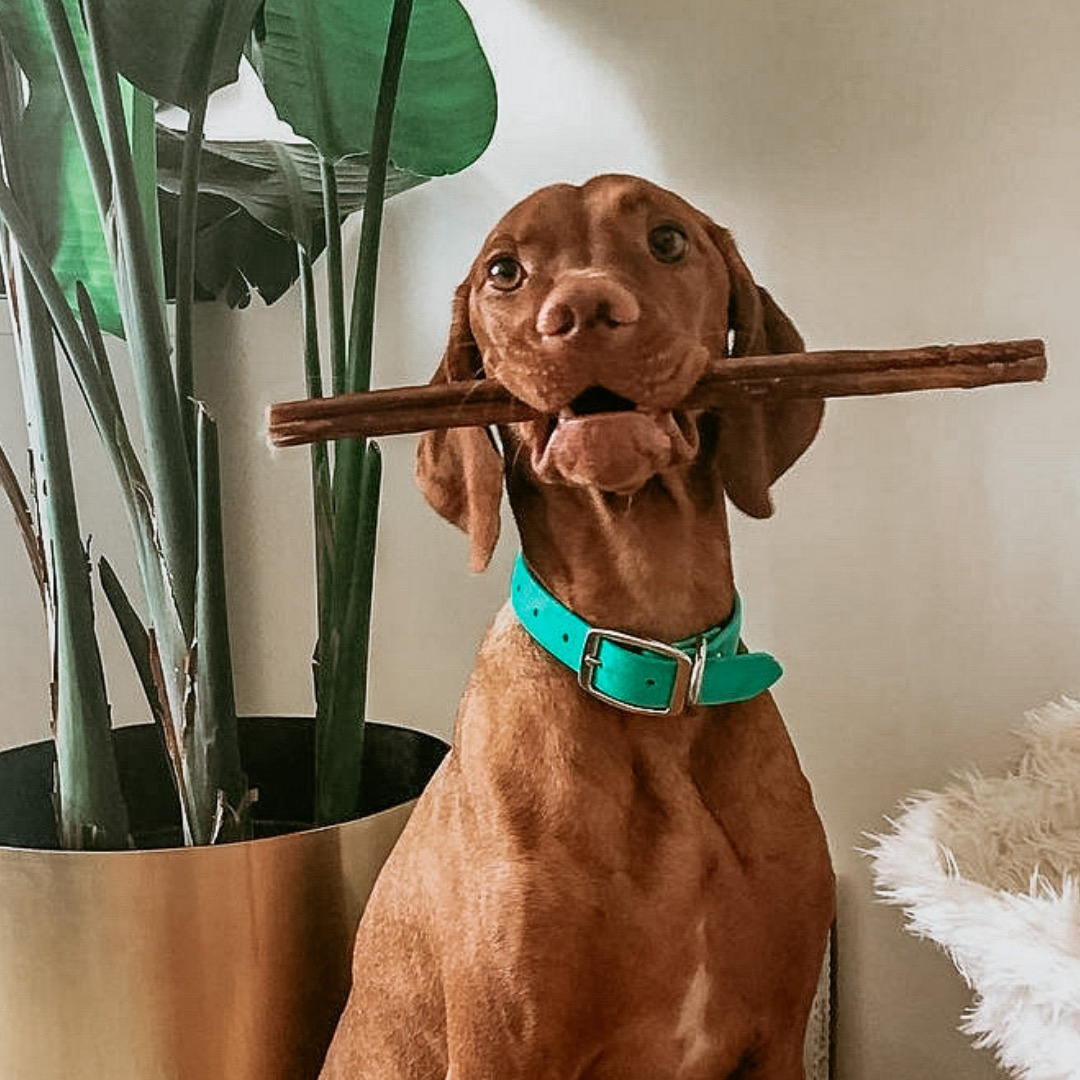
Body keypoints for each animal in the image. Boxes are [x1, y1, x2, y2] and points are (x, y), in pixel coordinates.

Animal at [319, 172, 833, 1075]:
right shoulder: (503, 1052)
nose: (584, 311)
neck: (652, 657)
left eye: (668, 240)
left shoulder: (778, 1037)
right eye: (504, 271)